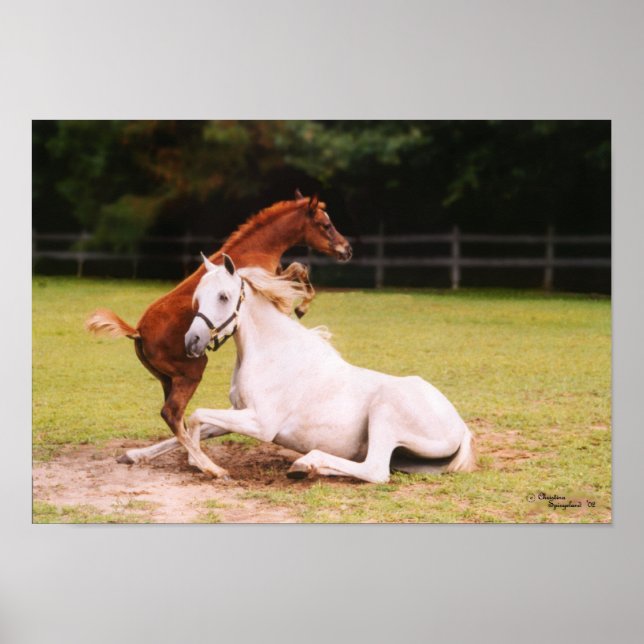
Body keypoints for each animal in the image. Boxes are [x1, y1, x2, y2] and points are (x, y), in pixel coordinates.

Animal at [85, 192, 352, 477]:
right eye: (326, 225)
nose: (346, 249)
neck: (257, 248)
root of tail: (138, 332)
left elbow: (297, 271)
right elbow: (297, 273)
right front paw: (302, 308)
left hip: (167, 380)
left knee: (177, 418)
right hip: (192, 372)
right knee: (172, 414)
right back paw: (208, 466)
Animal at [162, 255, 475, 483]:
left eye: (223, 297)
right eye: (198, 297)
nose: (192, 341)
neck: (272, 354)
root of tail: (460, 427)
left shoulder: (261, 423)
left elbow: (195, 416)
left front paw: (210, 468)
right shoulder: (237, 411)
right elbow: (187, 429)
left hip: (385, 413)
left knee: (375, 471)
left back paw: (307, 462)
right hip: (406, 457)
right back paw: (308, 467)